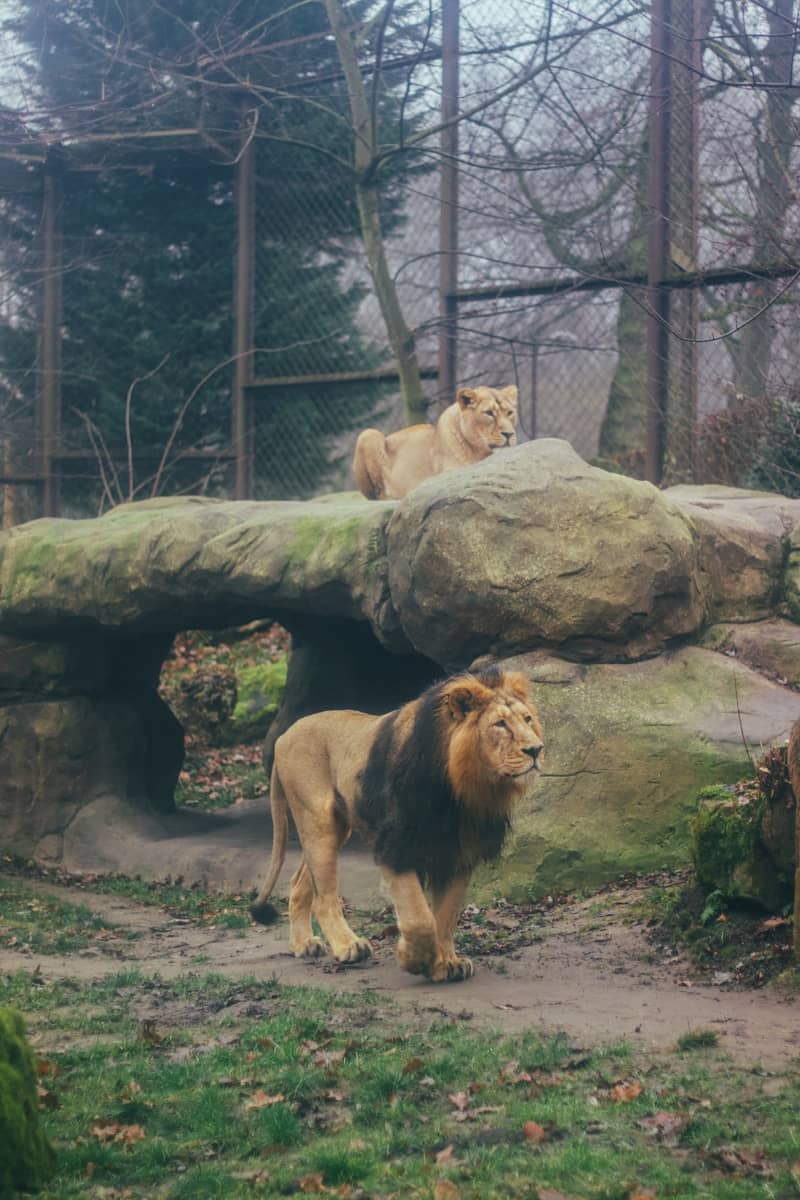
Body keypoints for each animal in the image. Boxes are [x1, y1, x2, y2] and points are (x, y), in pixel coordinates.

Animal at [251, 665, 544, 983]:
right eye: (500, 724)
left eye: (527, 719)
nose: (536, 749)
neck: (463, 790)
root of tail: (283, 736)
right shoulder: (397, 846)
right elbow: (420, 917)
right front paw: (413, 958)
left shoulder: (459, 853)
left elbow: (445, 916)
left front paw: (445, 963)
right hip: (318, 822)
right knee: (324, 898)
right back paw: (349, 946)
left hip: (335, 827)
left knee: (299, 883)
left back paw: (303, 943)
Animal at [352, 385, 519, 500]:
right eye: (489, 413)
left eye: (510, 413)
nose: (509, 434)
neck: (480, 453)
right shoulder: (446, 474)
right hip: (369, 433)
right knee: (377, 496)